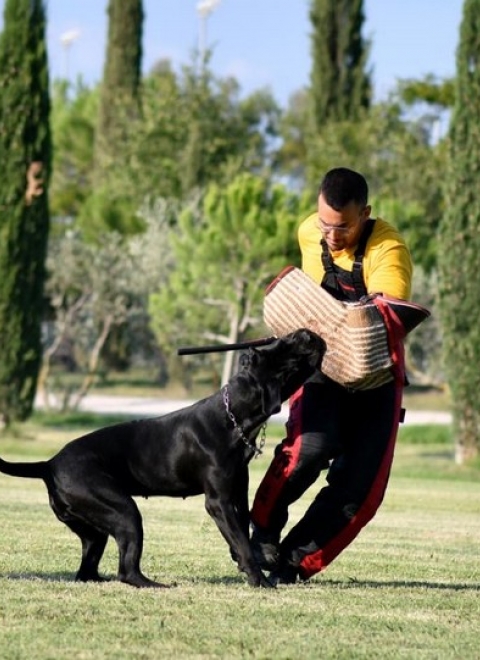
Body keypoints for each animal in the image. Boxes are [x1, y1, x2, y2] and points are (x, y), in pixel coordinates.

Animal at [0, 328, 324, 588]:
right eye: (284, 346)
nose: (306, 332)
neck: (234, 417)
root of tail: (49, 464)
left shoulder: (237, 495)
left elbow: (242, 533)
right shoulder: (218, 501)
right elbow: (242, 541)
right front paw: (259, 581)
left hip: (94, 530)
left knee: (88, 570)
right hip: (124, 512)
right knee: (127, 570)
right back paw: (156, 585)